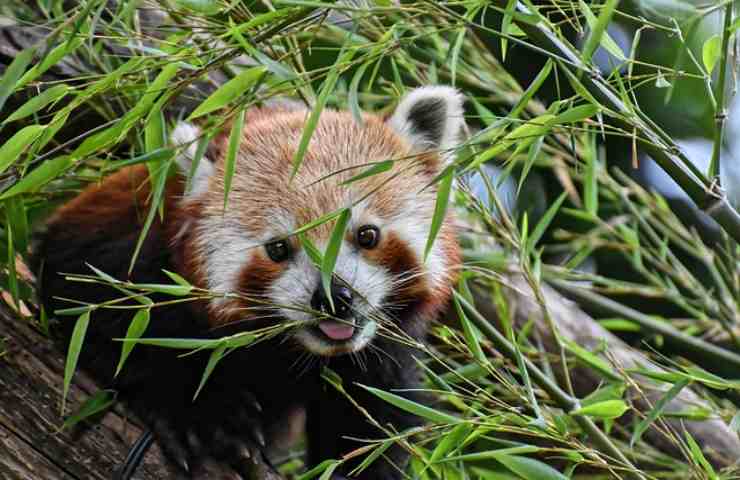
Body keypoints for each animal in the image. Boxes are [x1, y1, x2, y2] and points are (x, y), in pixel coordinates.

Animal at [34, 87, 466, 480]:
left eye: (367, 235)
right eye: (278, 248)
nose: (333, 298)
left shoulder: (381, 356)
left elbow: (370, 428)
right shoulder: (120, 250)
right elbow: (100, 320)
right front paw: (202, 412)